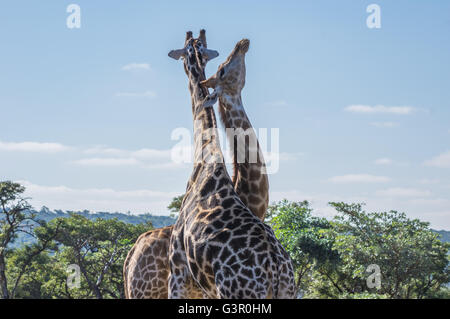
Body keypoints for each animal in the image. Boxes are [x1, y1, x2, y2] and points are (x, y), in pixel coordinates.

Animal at [167, 30, 298, 300]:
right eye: (220, 64)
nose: (242, 43)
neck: (206, 154)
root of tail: (275, 269)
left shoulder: (178, 271)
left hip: (235, 294)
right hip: (287, 292)